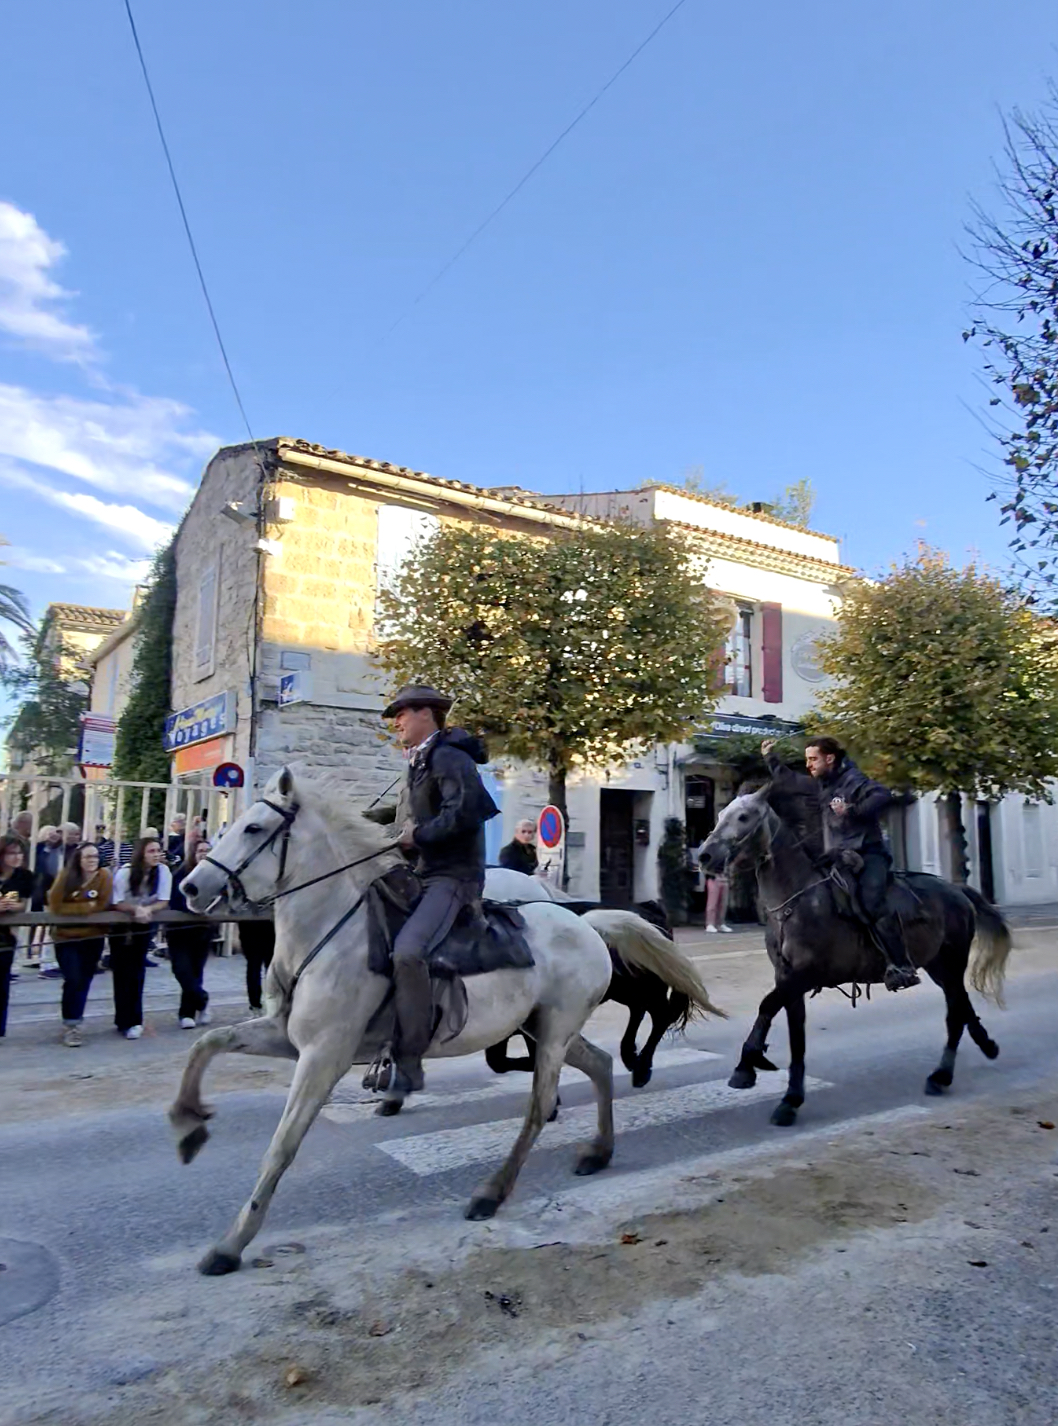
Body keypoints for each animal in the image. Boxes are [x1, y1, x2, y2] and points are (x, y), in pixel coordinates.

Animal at [171, 770, 624, 1283]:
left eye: (253, 828)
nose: (191, 887)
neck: (333, 929)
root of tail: (586, 924)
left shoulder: (323, 1055)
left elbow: (282, 1145)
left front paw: (231, 1244)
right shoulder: (285, 1037)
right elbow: (208, 1044)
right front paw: (188, 1127)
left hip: (553, 1033)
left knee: (539, 1106)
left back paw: (491, 1192)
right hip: (544, 1028)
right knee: (600, 1063)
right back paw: (599, 1152)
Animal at [701, 787, 1015, 1129]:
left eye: (744, 817)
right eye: (720, 815)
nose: (705, 856)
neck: (798, 901)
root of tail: (957, 891)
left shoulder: (803, 976)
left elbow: (767, 1006)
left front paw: (747, 1065)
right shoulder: (787, 979)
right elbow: (796, 1037)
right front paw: (790, 1099)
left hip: (952, 961)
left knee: (955, 1014)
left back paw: (941, 1076)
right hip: (939, 967)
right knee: (962, 1005)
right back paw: (985, 1046)